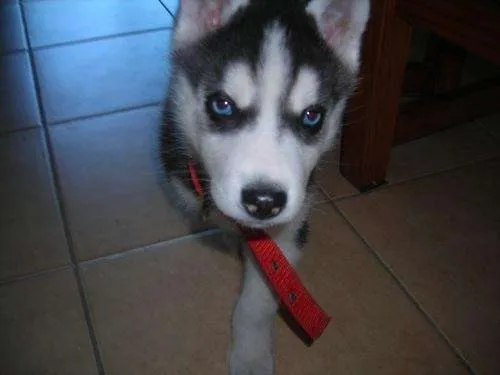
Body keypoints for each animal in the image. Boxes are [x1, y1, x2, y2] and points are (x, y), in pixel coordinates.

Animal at [162, 1, 370, 374]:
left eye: (312, 116)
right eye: (222, 105)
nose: (264, 201)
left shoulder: (289, 230)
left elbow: (257, 302)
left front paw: (251, 356)